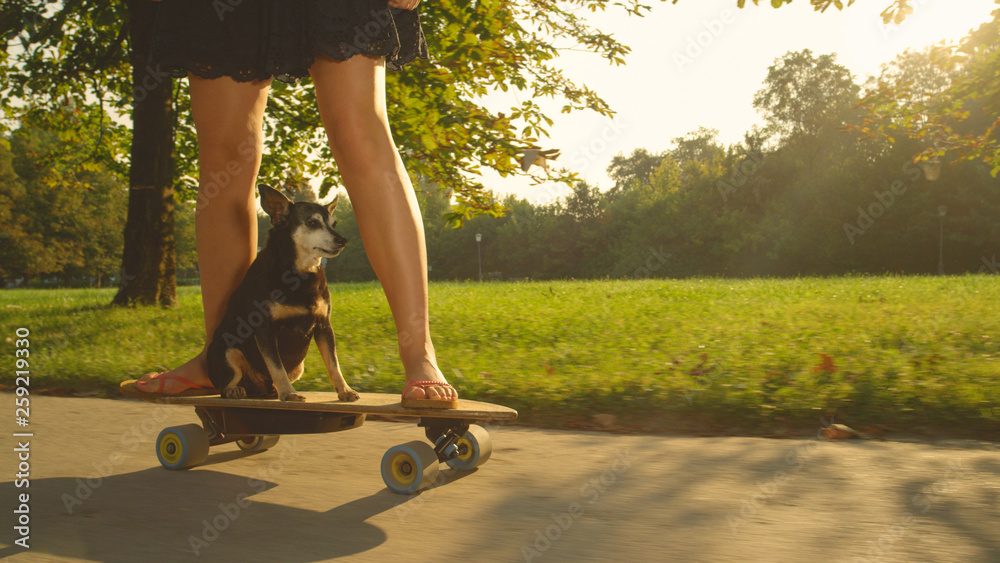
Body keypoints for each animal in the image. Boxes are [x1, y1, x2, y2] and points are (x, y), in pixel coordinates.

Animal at [206, 183, 360, 404]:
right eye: (312, 223)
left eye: (334, 224)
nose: (343, 240)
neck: (300, 274)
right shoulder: (265, 330)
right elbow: (276, 366)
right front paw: (288, 393)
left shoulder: (324, 326)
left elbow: (333, 363)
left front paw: (344, 389)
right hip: (228, 352)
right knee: (227, 382)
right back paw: (235, 390)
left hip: (299, 367)